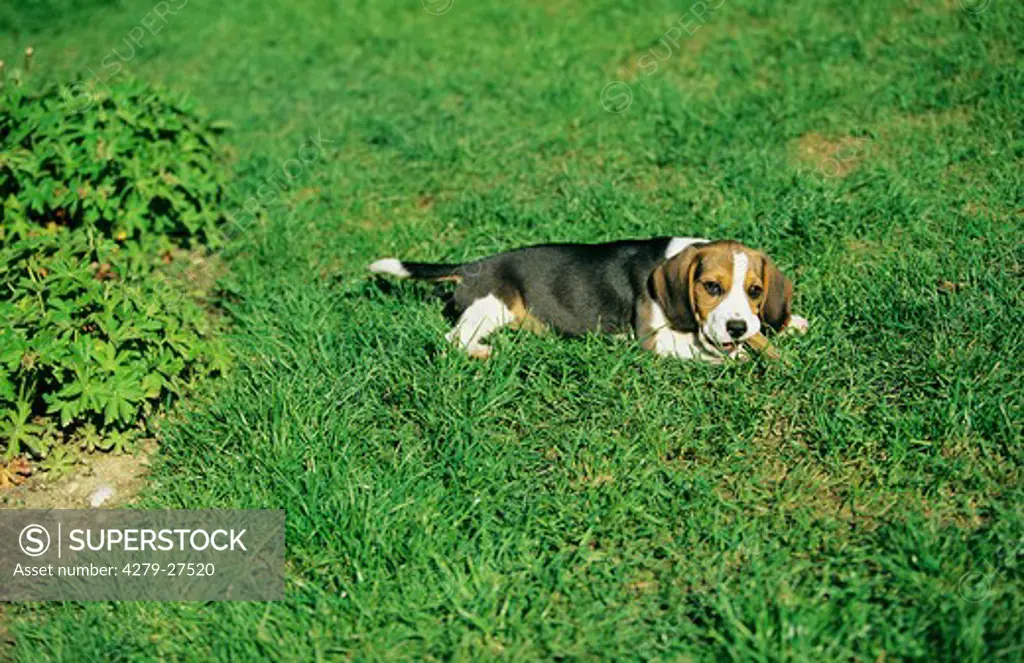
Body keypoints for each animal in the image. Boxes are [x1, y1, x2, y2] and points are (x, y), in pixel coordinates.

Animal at [368, 237, 806, 362]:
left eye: (755, 291)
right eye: (711, 287)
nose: (737, 326)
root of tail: (472, 264)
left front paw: (787, 325)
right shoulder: (655, 339)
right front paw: (735, 355)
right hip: (493, 305)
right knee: (452, 340)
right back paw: (482, 351)